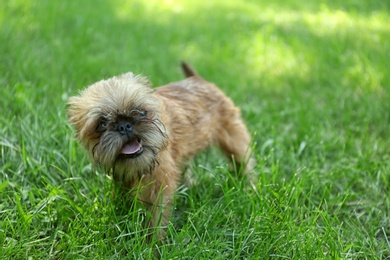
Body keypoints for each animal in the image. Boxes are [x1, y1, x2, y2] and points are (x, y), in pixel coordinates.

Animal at [68, 62, 254, 241]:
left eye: (141, 113)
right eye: (101, 124)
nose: (124, 126)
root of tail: (198, 79)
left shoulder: (158, 186)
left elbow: (155, 218)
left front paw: (152, 243)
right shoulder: (122, 180)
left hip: (233, 138)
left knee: (244, 162)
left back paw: (249, 186)